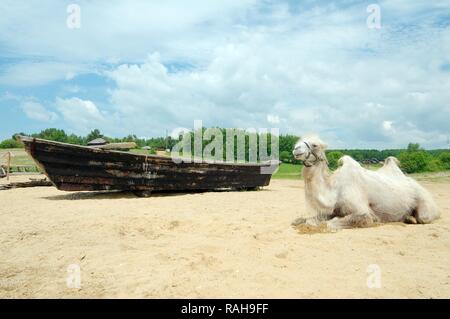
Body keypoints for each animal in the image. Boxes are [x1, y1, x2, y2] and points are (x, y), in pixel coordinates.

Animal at [292, 135, 440, 230]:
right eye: (299, 140)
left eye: (315, 145)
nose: (296, 149)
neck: (334, 189)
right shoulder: (333, 210)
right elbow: (303, 220)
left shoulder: (363, 212)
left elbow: (329, 223)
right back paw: (408, 218)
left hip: (425, 203)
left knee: (424, 217)